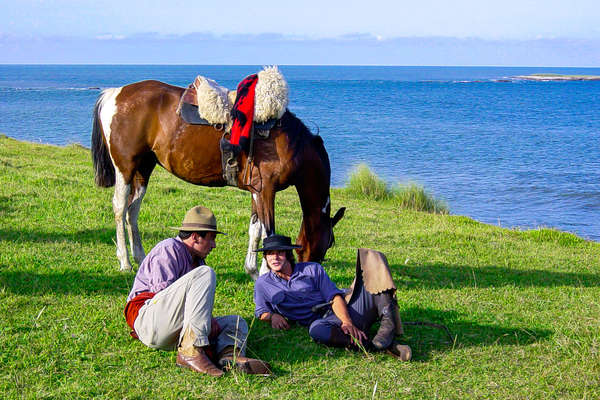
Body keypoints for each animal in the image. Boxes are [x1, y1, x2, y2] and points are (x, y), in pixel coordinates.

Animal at [88, 78, 342, 278]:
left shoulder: (257, 191)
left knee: (132, 210)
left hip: (143, 169)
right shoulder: (266, 190)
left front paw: (252, 271)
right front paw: (266, 272)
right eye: (329, 243)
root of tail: (115, 93)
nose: (315, 268)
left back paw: (140, 257)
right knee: (120, 208)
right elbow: (268, 232)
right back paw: (125, 261)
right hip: (125, 169)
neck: (290, 142)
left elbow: (255, 229)